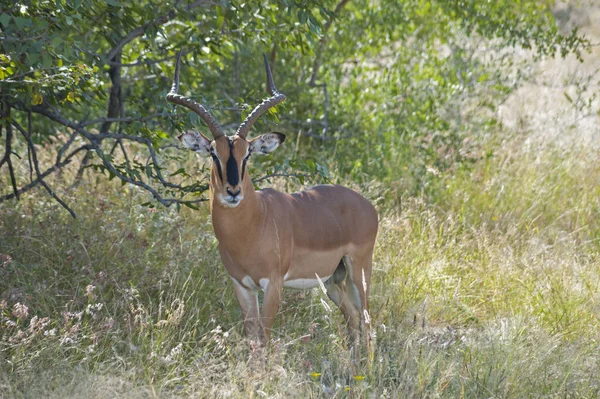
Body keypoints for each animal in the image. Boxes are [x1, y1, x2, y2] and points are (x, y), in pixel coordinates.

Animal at [166, 54, 378, 350]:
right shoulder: (242, 286)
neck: (252, 226)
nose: (233, 191)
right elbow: (252, 339)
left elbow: (264, 340)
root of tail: (367, 205)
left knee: (368, 320)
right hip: (333, 280)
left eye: (247, 154)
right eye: (213, 153)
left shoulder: (273, 285)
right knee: (353, 318)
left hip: (359, 270)